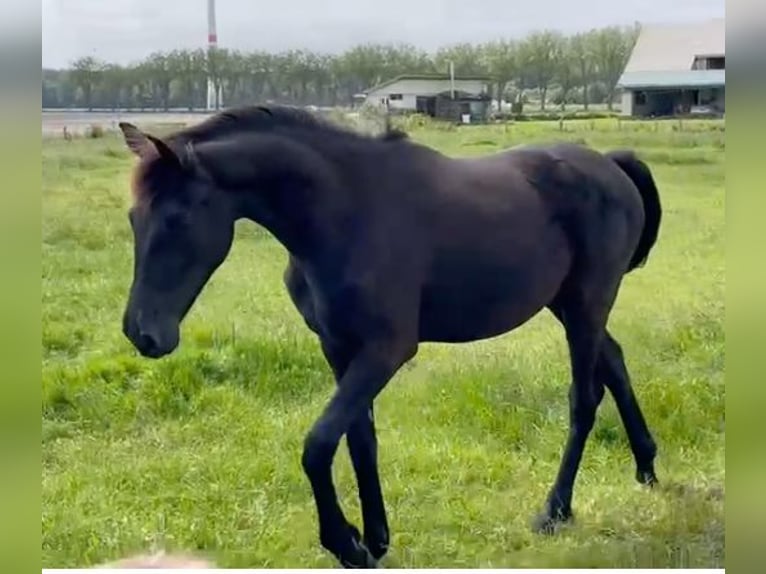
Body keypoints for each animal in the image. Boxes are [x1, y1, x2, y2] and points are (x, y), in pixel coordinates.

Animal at [117, 107, 664, 572]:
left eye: (177, 219)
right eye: (132, 218)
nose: (142, 333)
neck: (345, 213)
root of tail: (611, 165)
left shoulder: (387, 350)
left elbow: (318, 443)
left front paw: (346, 543)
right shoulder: (338, 348)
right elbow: (360, 439)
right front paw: (375, 538)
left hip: (586, 303)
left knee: (584, 397)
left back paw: (556, 510)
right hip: (568, 305)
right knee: (614, 362)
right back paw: (646, 467)